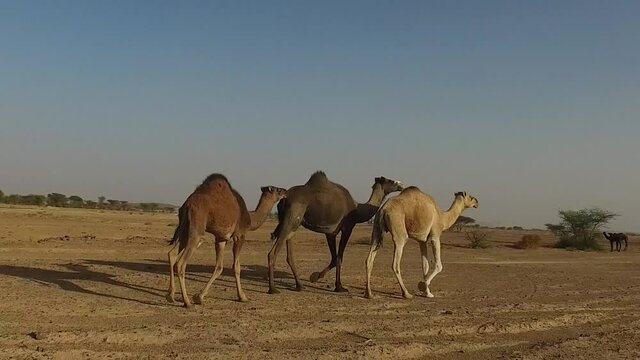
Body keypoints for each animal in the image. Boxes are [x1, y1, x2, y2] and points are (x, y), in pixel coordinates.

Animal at [166, 173, 286, 308]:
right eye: (277, 189)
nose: (285, 191)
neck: (250, 218)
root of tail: (187, 205)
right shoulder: (239, 235)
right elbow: (236, 267)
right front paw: (243, 297)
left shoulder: (221, 238)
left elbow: (219, 267)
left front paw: (199, 296)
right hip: (196, 229)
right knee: (181, 263)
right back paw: (186, 302)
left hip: (184, 227)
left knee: (172, 254)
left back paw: (170, 295)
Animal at [268, 171, 402, 292]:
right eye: (390, 181)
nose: (401, 185)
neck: (358, 210)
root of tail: (283, 199)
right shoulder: (347, 228)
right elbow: (339, 258)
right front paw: (339, 287)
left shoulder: (330, 232)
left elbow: (334, 258)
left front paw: (315, 277)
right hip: (291, 218)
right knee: (272, 253)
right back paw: (273, 289)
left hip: (292, 223)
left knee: (289, 254)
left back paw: (299, 286)